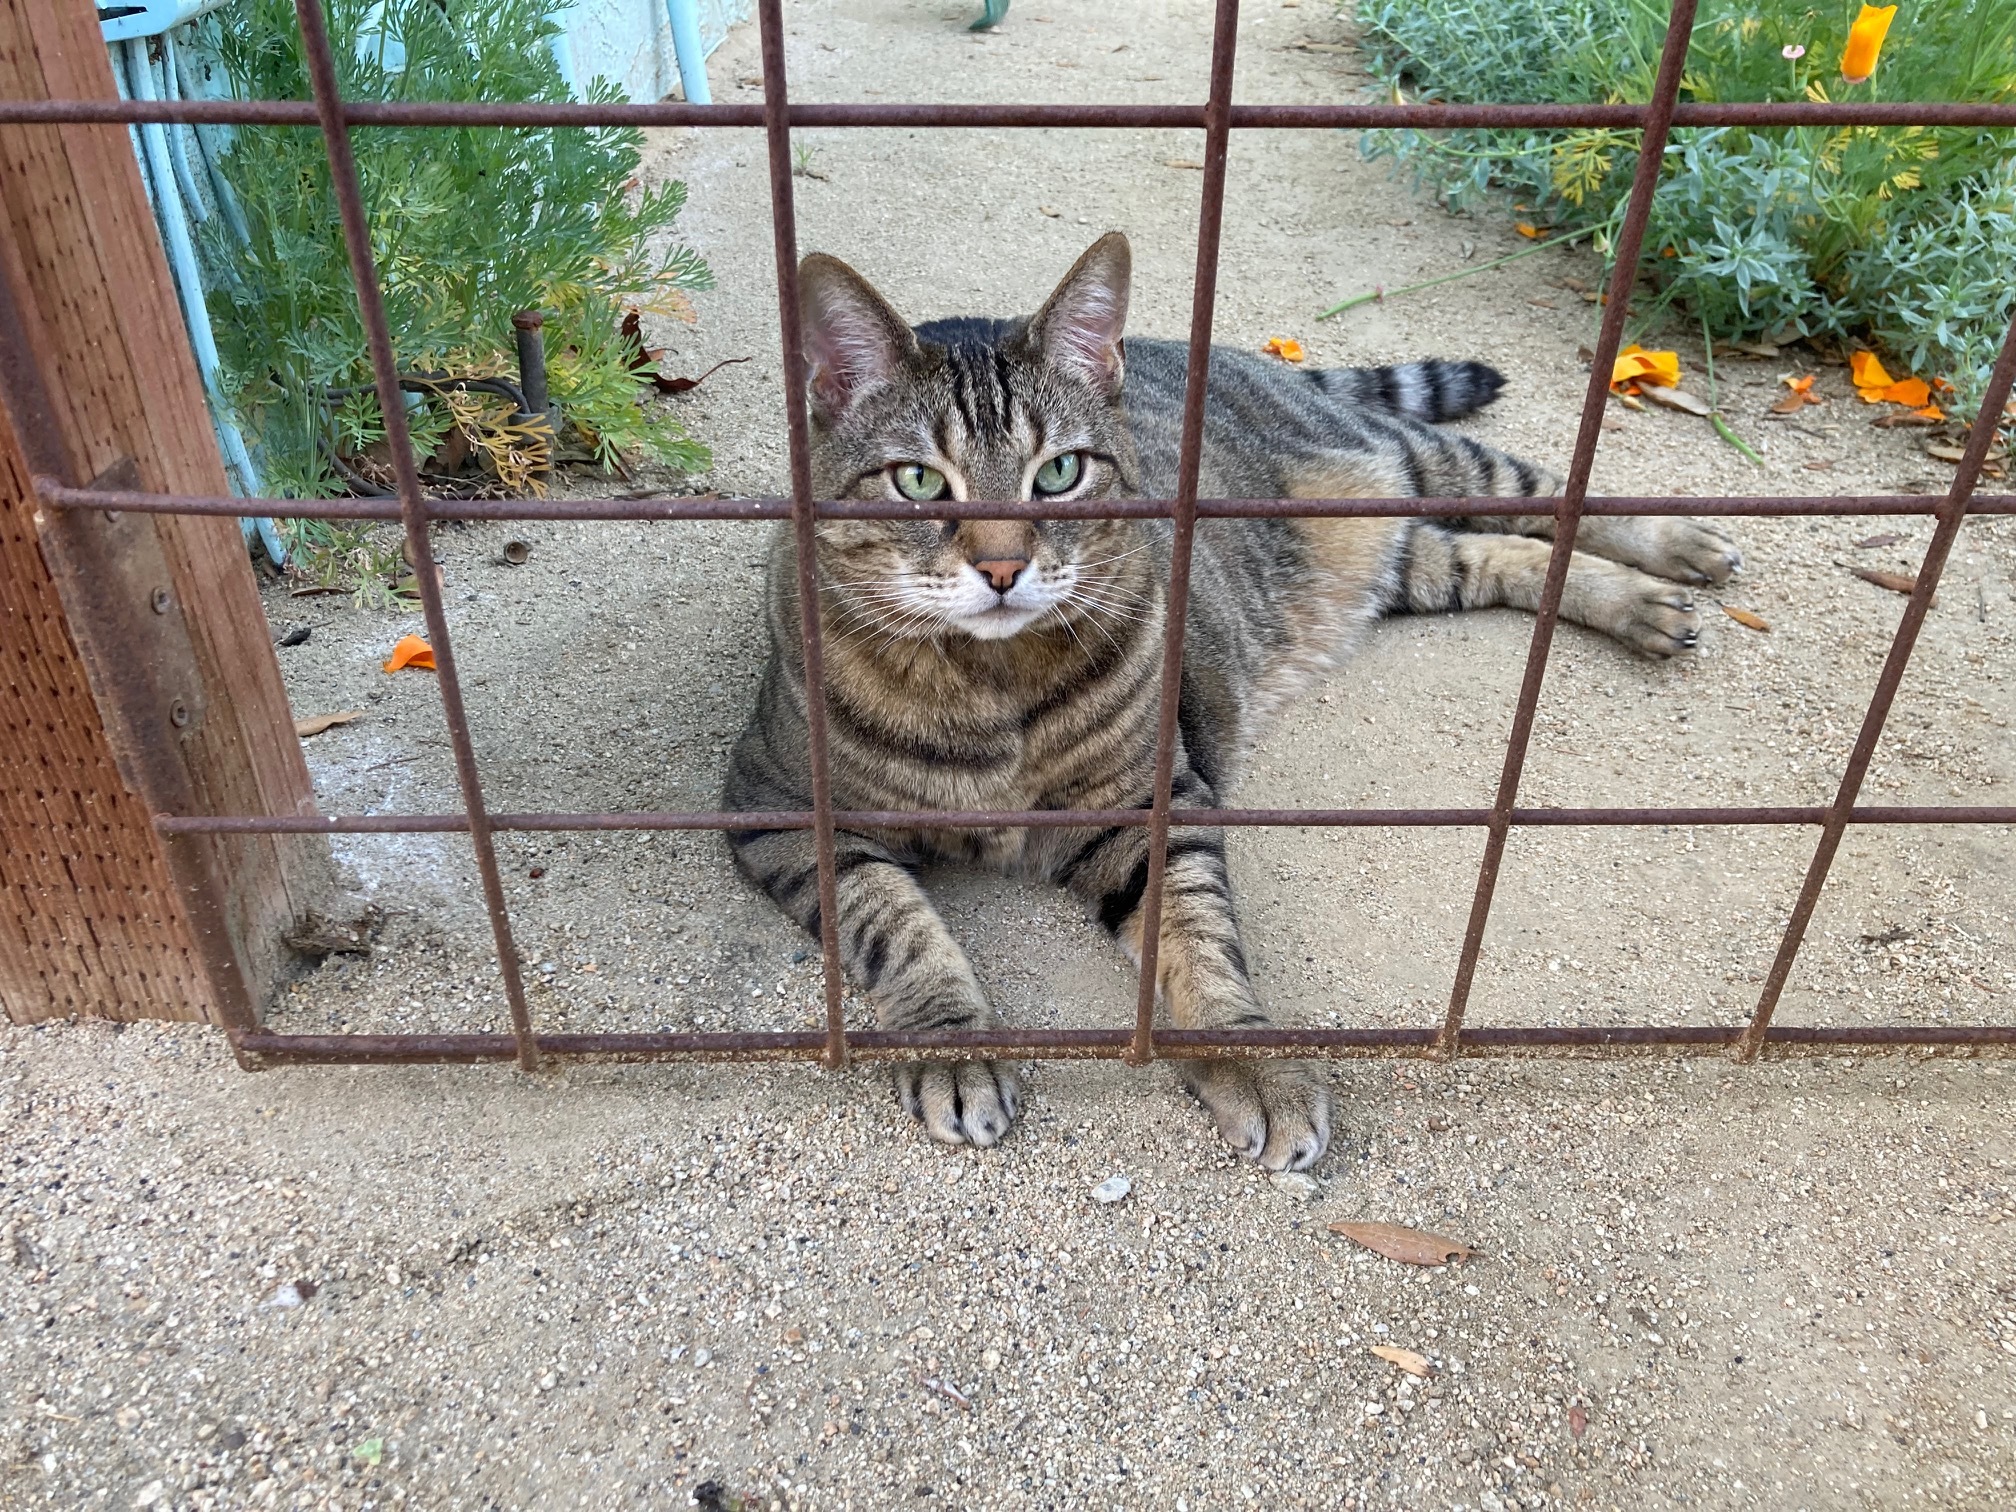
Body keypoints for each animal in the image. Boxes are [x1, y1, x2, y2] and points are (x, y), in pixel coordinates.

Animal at [721, 230, 1733, 1169]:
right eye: (919, 481)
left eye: (1061, 473)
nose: (1003, 567)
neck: (989, 685)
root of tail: (1217, 348)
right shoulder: (779, 806)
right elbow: (896, 926)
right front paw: (954, 1039)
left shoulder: (1153, 805)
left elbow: (1199, 939)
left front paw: (1245, 1058)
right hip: (1402, 556)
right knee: (1500, 553)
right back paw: (1640, 601)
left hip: (1425, 464)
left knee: (1552, 492)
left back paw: (1674, 551)